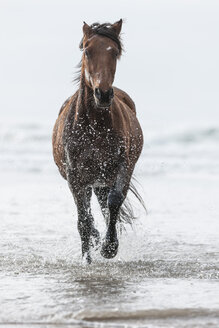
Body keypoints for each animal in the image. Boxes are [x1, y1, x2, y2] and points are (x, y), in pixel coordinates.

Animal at [52, 19, 144, 262]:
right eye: (87, 50)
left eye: (115, 52)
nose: (102, 94)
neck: (94, 127)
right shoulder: (75, 177)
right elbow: (83, 220)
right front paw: (87, 259)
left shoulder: (121, 166)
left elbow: (114, 202)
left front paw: (109, 248)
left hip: (105, 178)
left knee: (106, 204)